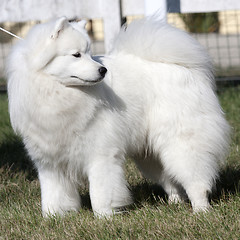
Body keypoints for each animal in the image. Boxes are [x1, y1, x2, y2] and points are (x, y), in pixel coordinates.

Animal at [6, 16, 230, 216]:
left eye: (89, 53)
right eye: (76, 55)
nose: (102, 70)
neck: (57, 93)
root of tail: (183, 68)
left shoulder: (100, 155)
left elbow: (100, 192)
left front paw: (104, 217)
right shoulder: (49, 163)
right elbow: (53, 195)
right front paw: (53, 217)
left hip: (181, 145)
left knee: (195, 181)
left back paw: (201, 210)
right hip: (150, 155)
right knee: (170, 181)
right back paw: (175, 203)